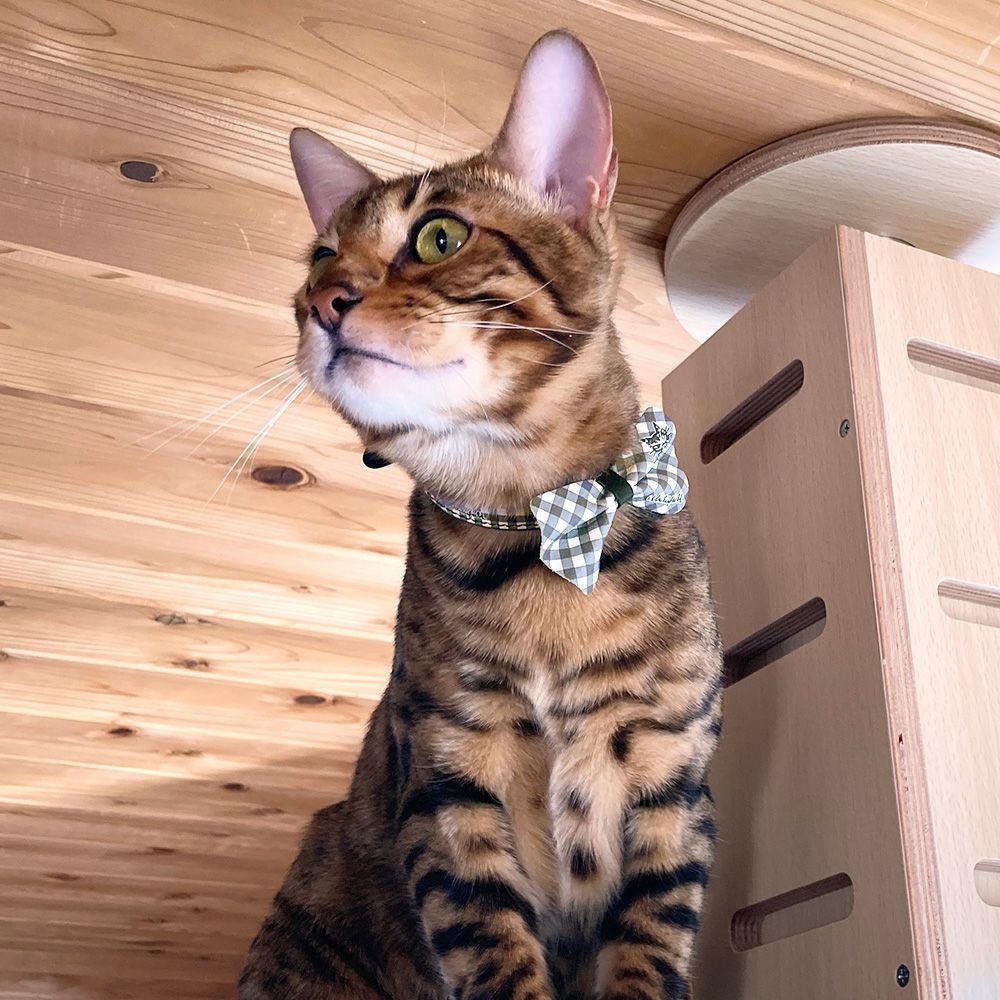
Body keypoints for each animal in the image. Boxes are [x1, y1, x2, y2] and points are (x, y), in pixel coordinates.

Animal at [239, 30, 721, 1000]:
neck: (535, 527)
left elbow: (650, 951)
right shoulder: (448, 778)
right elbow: (493, 952)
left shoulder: (672, 783)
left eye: (439, 235)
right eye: (318, 258)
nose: (320, 303)